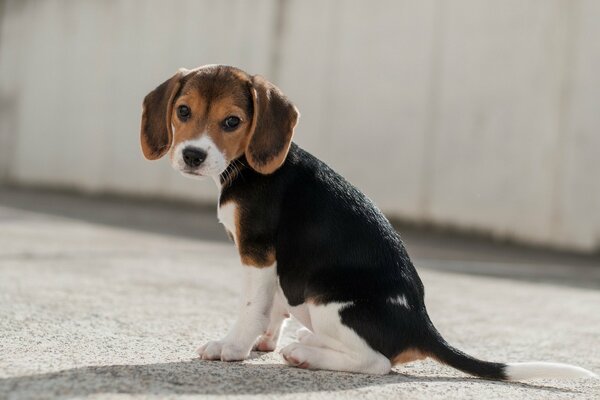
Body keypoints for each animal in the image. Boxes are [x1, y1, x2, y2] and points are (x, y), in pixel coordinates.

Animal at [141, 64, 596, 380]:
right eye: (183, 111)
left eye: (232, 121)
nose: (193, 155)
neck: (247, 166)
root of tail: (422, 327)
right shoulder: (272, 268)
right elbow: (272, 310)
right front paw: (262, 343)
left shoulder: (257, 252)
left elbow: (253, 307)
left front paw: (232, 347)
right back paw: (306, 341)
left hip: (328, 300)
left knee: (376, 362)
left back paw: (306, 353)